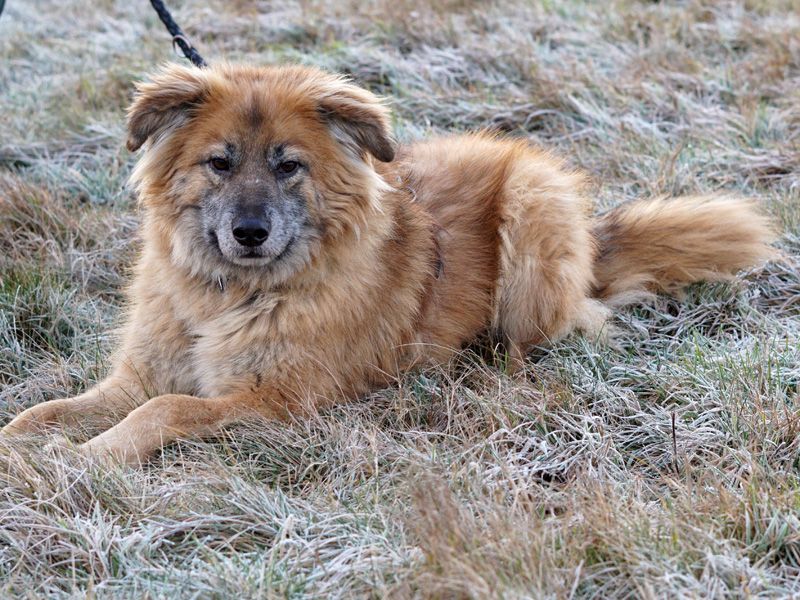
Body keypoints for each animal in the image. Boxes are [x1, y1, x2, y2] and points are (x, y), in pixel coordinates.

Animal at [1, 63, 776, 464]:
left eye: (288, 167)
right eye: (219, 163)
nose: (249, 233)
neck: (228, 295)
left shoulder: (277, 401)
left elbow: (167, 408)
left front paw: (90, 457)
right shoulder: (135, 376)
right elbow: (49, 411)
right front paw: (25, 445)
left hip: (535, 204)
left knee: (551, 334)